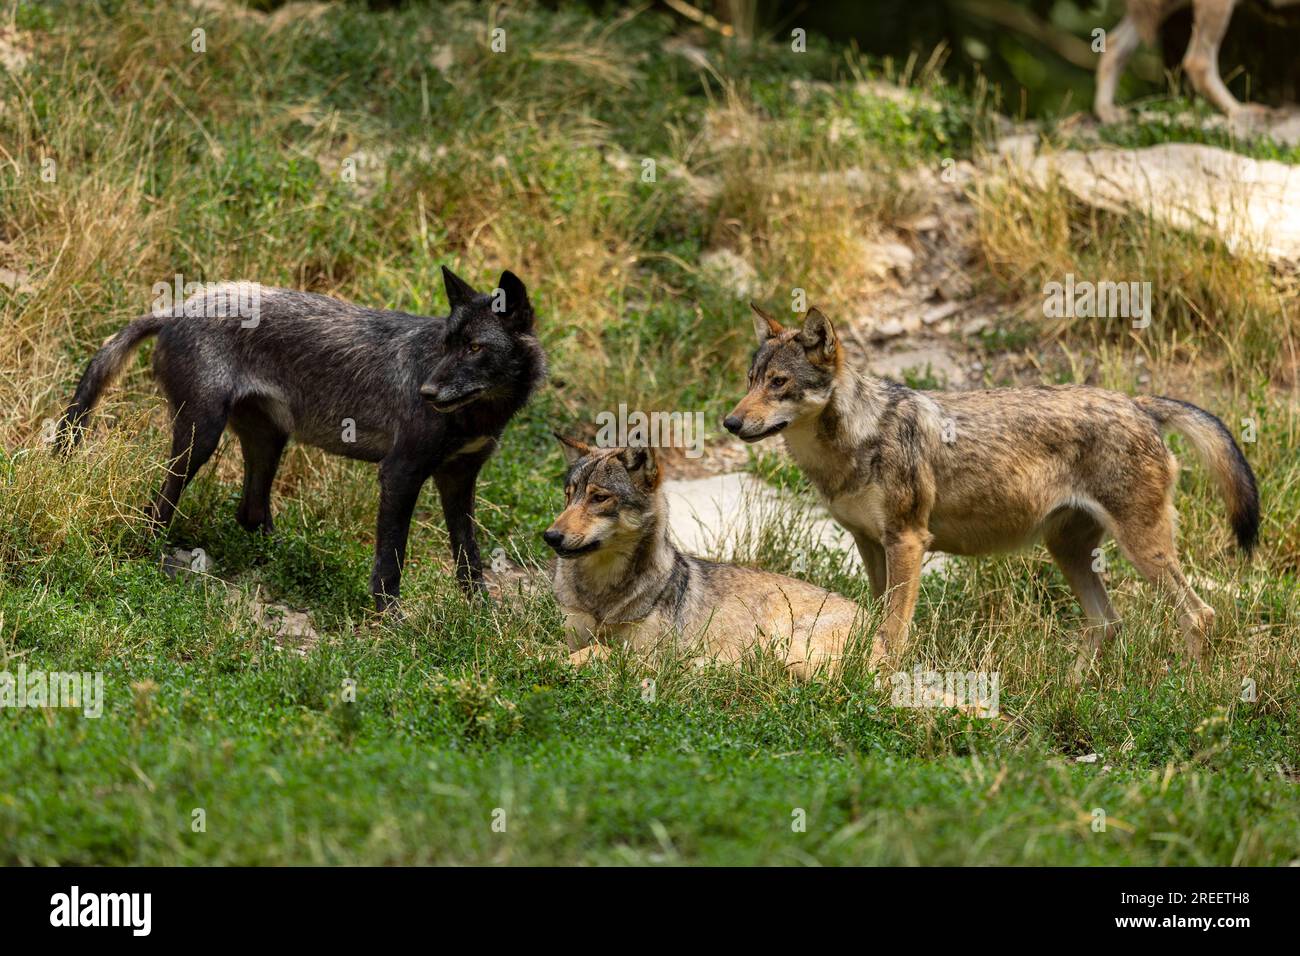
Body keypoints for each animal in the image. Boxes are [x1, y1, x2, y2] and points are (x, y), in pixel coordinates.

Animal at [57, 267, 546, 610]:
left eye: (475, 348)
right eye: (447, 346)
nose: (425, 393)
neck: (482, 413)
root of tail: (175, 309)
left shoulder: (458, 480)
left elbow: (470, 561)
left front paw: (481, 617)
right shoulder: (400, 474)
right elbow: (391, 563)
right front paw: (392, 622)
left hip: (268, 440)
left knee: (250, 513)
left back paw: (294, 561)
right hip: (201, 438)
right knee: (157, 508)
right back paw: (155, 561)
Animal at [543, 437, 885, 677]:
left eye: (599, 498)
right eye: (568, 496)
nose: (550, 536)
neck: (602, 592)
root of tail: (878, 624)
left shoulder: (650, 655)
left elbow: (597, 651)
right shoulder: (575, 632)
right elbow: (561, 648)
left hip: (788, 651)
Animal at [725, 304, 1258, 678]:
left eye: (779, 383)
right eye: (751, 381)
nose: (730, 422)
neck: (856, 438)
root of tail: (1140, 403)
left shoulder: (907, 541)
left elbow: (894, 630)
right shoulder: (870, 543)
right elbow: (873, 620)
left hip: (1140, 549)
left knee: (1200, 614)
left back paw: (1185, 691)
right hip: (1067, 551)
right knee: (1109, 623)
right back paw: (1071, 689)